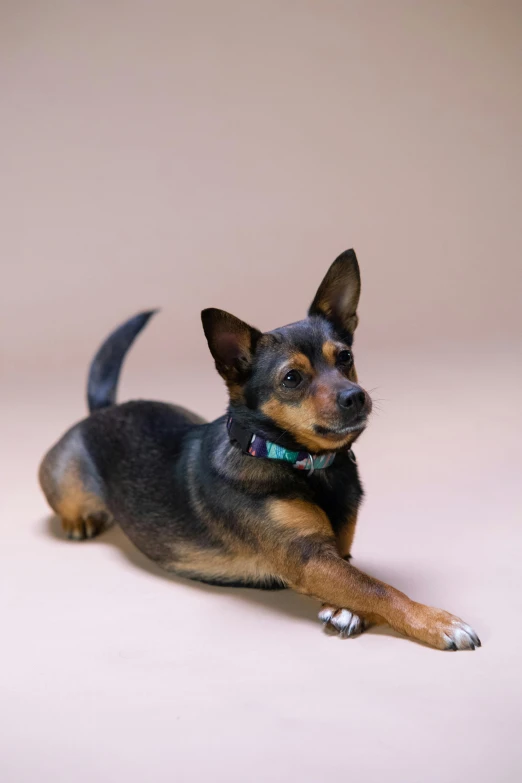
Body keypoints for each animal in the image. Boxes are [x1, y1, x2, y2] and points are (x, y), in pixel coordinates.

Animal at [39, 250, 480, 648]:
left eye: (346, 357)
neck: (300, 462)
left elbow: (359, 580)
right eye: (291, 378)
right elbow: (377, 587)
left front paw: (345, 610)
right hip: (64, 481)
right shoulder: (308, 558)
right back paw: (80, 520)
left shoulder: (336, 553)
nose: (356, 396)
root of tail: (105, 409)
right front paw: (438, 621)